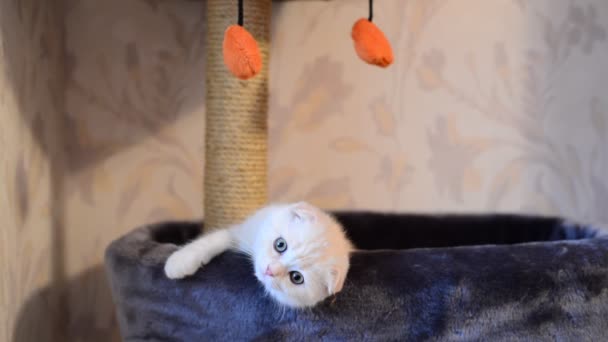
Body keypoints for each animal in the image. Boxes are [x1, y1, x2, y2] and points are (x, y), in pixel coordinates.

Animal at [164, 202, 354, 308]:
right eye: (280, 245)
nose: (270, 270)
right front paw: (180, 261)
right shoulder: (239, 233)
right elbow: (216, 239)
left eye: (296, 277)